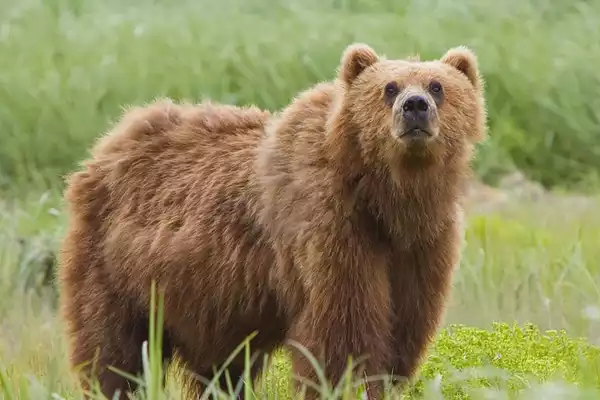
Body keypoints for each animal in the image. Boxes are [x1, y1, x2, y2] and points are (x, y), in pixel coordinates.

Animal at [57, 41, 488, 400]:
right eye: (390, 87)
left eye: (437, 86)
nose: (415, 106)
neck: (388, 200)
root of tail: (111, 141)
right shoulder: (330, 228)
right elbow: (342, 333)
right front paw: (346, 383)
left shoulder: (422, 245)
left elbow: (404, 327)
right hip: (116, 266)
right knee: (113, 348)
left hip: (208, 299)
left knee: (220, 367)